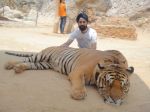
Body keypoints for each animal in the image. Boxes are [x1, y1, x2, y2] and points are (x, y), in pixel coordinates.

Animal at [4, 46, 134, 105]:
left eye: (124, 86)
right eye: (108, 84)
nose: (115, 101)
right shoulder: (78, 72)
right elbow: (79, 83)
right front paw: (78, 94)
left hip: (43, 64)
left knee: (28, 64)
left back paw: (18, 68)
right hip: (41, 56)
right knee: (26, 59)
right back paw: (9, 64)